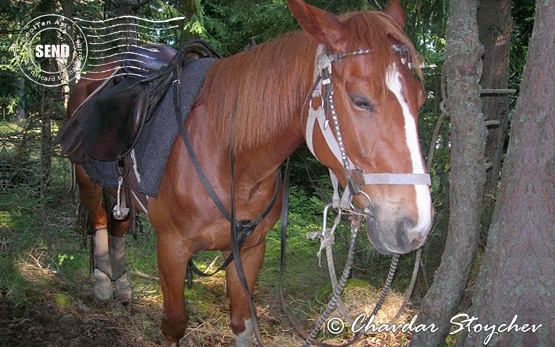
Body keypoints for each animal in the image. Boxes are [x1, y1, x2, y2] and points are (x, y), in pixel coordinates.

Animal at [67, 0, 434, 346]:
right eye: (360, 100)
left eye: (421, 99)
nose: (414, 228)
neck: (231, 158)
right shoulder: (171, 249)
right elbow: (174, 325)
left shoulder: (250, 248)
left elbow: (242, 322)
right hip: (88, 179)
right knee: (100, 219)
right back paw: (103, 283)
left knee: (120, 222)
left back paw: (123, 285)